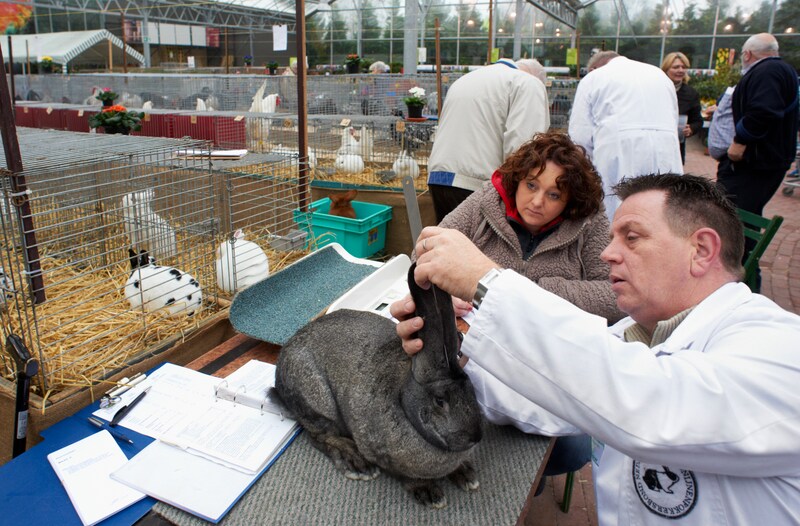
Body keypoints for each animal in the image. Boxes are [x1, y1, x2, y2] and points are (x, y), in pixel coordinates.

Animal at [273, 262, 483, 508]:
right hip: (318, 401)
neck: (404, 403)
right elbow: (406, 476)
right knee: (319, 436)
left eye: (471, 388)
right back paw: (356, 463)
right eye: (440, 401)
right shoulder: (377, 449)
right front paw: (429, 493)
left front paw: (466, 474)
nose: (476, 436)